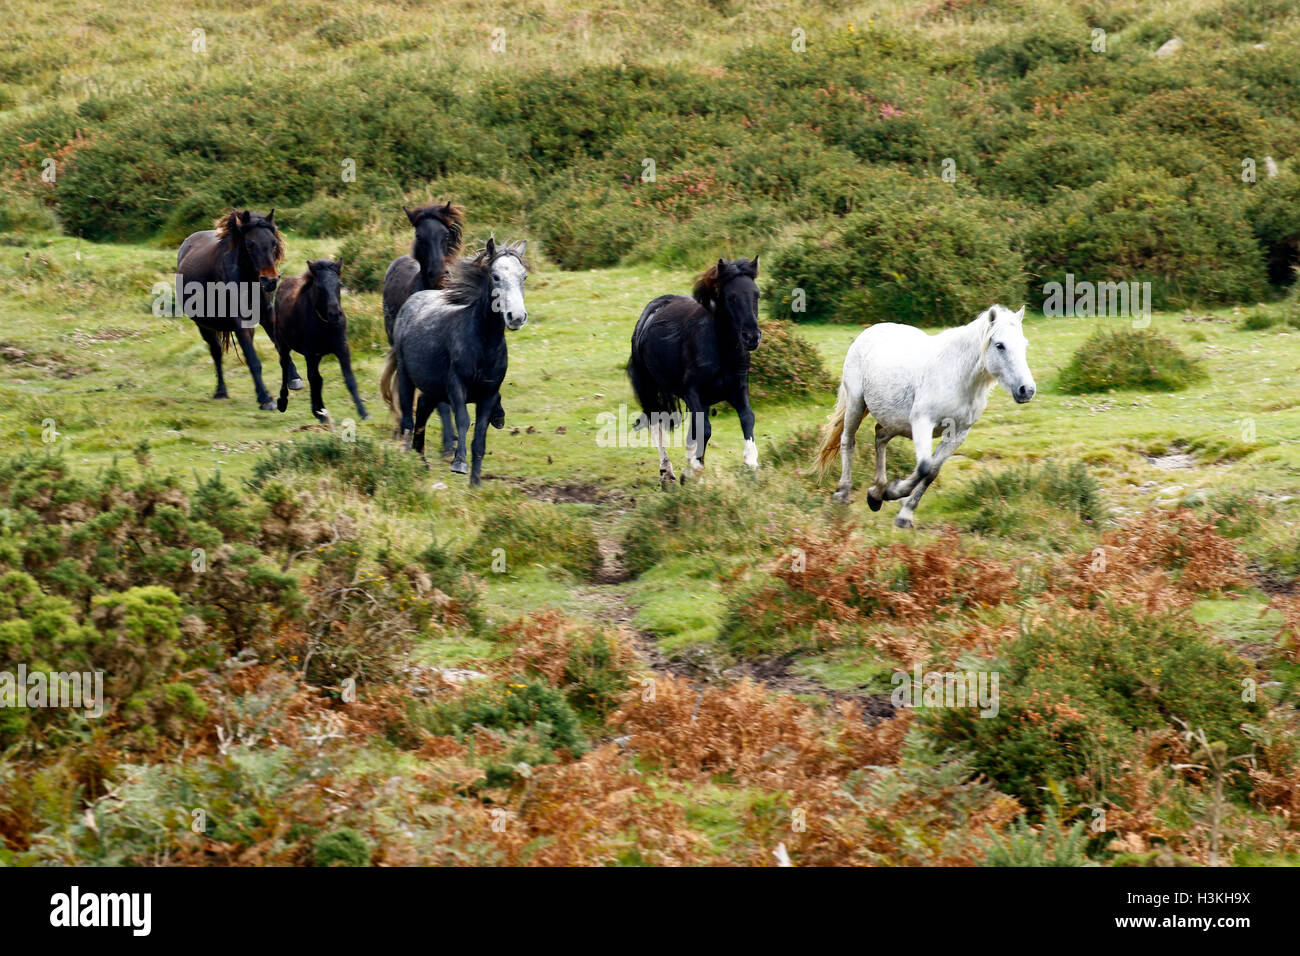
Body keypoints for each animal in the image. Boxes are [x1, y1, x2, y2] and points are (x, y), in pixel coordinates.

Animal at [176, 208, 301, 410]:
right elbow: (252, 359)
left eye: (273, 242)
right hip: (204, 326)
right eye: (250, 244)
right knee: (216, 352)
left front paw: (294, 379)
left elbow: (280, 346)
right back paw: (221, 391)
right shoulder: (240, 323)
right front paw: (265, 398)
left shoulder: (268, 315)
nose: (270, 280)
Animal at [271, 259, 368, 424]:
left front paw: (363, 412)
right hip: (283, 345)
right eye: (319, 287)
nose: (334, 314)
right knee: (285, 367)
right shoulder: (310, 352)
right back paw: (283, 402)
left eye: (340, 283)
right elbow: (315, 379)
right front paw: (320, 412)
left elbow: (349, 379)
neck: (325, 325)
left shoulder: (342, 349)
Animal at [379, 238, 527, 485]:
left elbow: (480, 436)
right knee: (408, 418)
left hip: (432, 387)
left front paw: (475, 483)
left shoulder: (488, 394)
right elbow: (463, 420)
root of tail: (411, 302)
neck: (483, 344)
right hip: (406, 377)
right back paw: (406, 459)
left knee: (422, 411)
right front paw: (459, 463)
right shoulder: (456, 385)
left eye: (523, 276)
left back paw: (421, 462)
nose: (516, 317)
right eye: (495, 276)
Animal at [626, 256, 762, 486]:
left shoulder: (737, 388)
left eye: (757, 295)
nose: (752, 337)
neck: (722, 351)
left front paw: (751, 463)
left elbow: (747, 418)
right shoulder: (692, 392)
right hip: (648, 387)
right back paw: (667, 474)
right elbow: (704, 429)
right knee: (656, 424)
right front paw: (692, 471)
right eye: (731, 297)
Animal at [813, 304, 1036, 529]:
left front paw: (903, 513)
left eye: (1025, 345)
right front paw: (894, 492)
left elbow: (932, 472)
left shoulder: (958, 433)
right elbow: (924, 467)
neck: (957, 376)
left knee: (880, 437)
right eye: (1000, 345)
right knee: (847, 441)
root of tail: (869, 331)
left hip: (896, 421)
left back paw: (876, 494)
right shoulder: (923, 422)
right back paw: (843, 494)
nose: (1026, 390)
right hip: (856, 404)